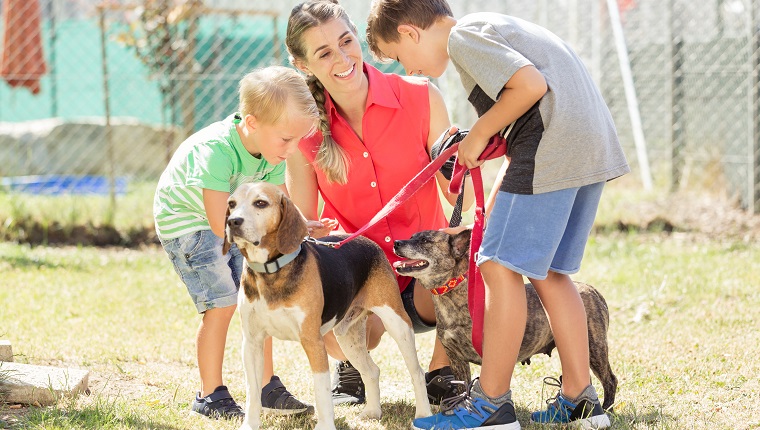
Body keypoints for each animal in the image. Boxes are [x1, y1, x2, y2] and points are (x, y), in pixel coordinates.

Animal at [392, 230, 616, 408]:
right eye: (411, 236)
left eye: (425, 241)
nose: (396, 242)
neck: (452, 294)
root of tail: (592, 289)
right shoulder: (456, 359)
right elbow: (462, 389)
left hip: (594, 349)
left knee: (610, 380)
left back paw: (606, 409)